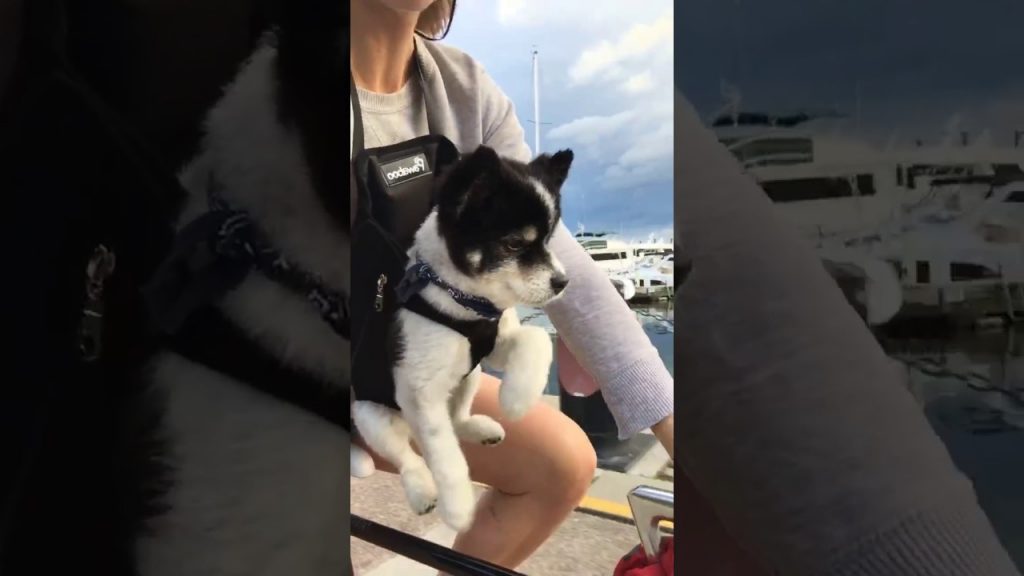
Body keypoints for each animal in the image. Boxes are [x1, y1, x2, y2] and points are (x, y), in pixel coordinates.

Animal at [352, 143, 577, 528]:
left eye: (548, 240)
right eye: (514, 244)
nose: (561, 282)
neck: (461, 299)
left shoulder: (492, 345)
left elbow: (534, 338)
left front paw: (517, 398)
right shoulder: (419, 392)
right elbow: (445, 456)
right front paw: (457, 508)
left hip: (469, 375)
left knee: (456, 420)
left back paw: (478, 428)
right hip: (369, 414)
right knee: (408, 456)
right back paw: (422, 491)